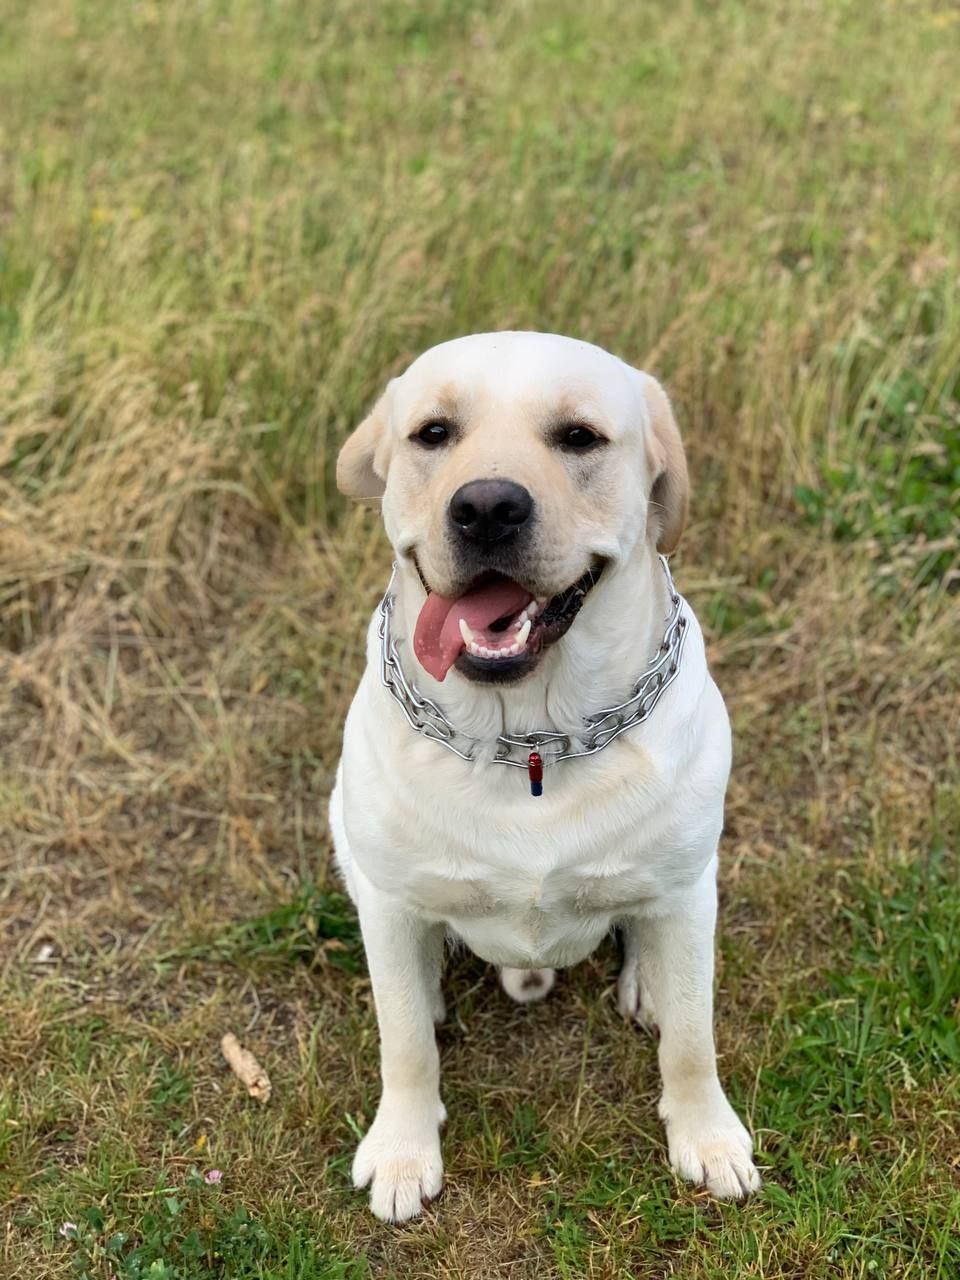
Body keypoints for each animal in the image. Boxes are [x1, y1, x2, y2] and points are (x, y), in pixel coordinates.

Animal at [327, 327, 762, 1218]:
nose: (487, 507)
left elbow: (694, 1037)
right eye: (432, 433)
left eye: (579, 438)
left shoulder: (688, 884)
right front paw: (402, 1150)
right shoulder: (386, 898)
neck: (530, 739)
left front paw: (706, 1136)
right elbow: (404, 1044)